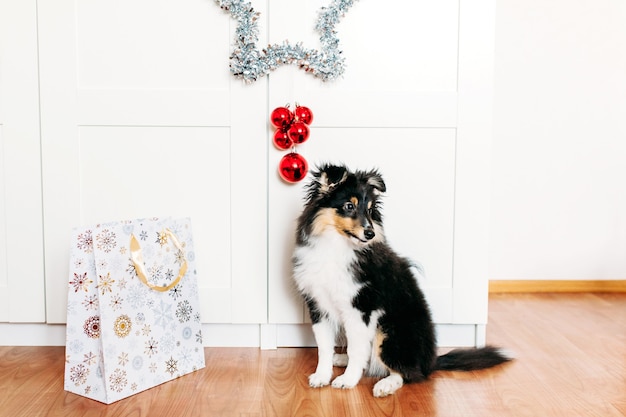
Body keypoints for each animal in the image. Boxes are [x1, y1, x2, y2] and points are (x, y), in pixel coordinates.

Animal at [292, 163, 508, 396]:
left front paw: (347, 380)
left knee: (406, 372)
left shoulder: (361, 308)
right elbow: (323, 347)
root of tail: (431, 362)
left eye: (370, 210)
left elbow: (357, 348)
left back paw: (385, 385)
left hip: (389, 331)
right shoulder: (318, 305)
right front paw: (321, 376)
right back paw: (340, 358)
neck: (336, 247)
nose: (370, 233)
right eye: (349, 206)